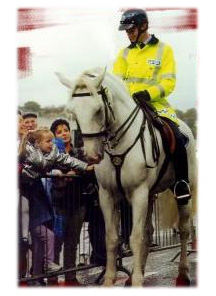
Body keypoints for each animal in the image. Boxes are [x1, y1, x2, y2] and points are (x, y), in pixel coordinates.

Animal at [56, 67, 197, 286]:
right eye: (73, 112)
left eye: (98, 109)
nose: (92, 156)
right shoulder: (108, 195)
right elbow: (112, 239)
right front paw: (110, 280)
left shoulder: (138, 194)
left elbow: (135, 238)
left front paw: (138, 281)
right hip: (150, 195)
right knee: (149, 232)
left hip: (182, 192)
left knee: (183, 229)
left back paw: (182, 274)